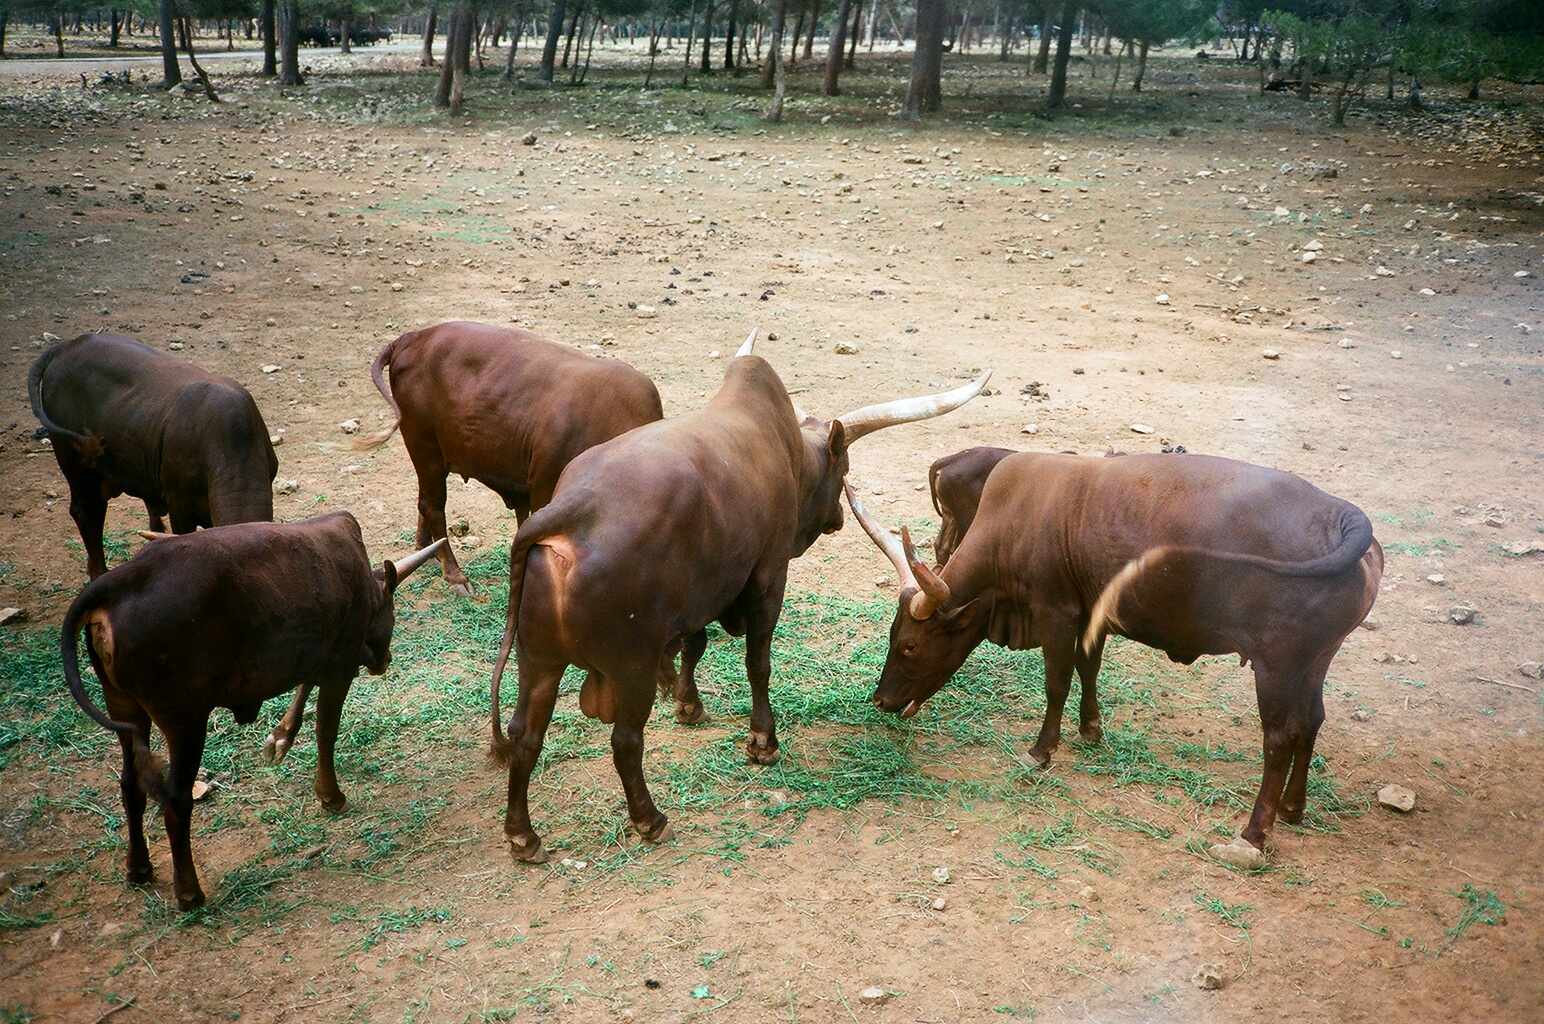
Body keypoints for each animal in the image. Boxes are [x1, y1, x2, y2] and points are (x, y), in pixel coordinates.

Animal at [60, 512, 444, 909]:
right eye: (390, 610)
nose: (385, 659)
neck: (364, 584)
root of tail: (118, 584)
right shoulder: (342, 661)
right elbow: (326, 730)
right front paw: (330, 795)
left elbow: (307, 685)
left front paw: (281, 737)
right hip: (185, 722)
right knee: (176, 802)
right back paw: (189, 892)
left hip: (125, 711)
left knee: (130, 786)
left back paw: (138, 869)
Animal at [349, 321, 666, 597]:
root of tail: (413, 337)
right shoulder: (544, 491)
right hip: (425, 447)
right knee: (433, 507)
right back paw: (454, 575)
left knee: (423, 502)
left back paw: (427, 553)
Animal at [487, 341, 988, 864]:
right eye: (844, 469)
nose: (837, 516)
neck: (788, 452)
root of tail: (572, 509)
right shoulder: (768, 578)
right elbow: (758, 663)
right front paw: (763, 741)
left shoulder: (699, 595)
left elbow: (696, 644)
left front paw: (689, 705)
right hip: (631, 664)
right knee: (625, 740)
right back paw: (649, 819)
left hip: (537, 659)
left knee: (525, 736)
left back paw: (523, 835)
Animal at [846, 451, 1383, 867]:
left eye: (909, 645)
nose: (882, 700)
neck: (1018, 517)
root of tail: (1344, 517)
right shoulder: (1091, 616)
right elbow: (1089, 669)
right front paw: (1091, 729)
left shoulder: (1057, 613)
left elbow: (1057, 681)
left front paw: (1041, 750)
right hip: (1315, 661)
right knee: (1311, 721)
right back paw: (1293, 808)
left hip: (1278, 665)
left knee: (1280, 736)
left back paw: (1253, 833)